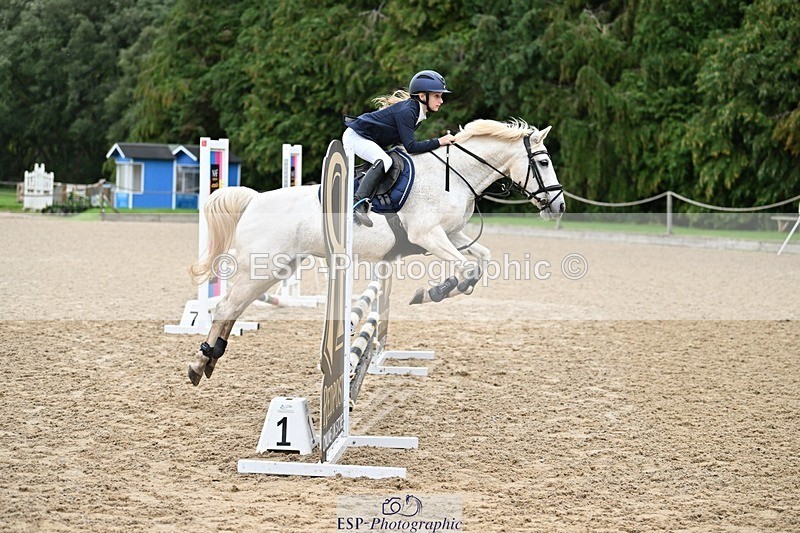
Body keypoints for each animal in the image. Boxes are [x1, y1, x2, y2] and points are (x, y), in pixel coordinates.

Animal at [186, 119, 565, 385]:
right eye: (544, 162)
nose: (558, 206)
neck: (454, 176)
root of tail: (254, 200)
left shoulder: (451, 234)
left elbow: (482, 260)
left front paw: (444, 289)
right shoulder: (430, 235)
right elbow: (465, 267)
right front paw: (436, 291)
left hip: (276, 269)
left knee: (233, 308)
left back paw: (210, 359)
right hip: (261, 268)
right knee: (225, 307)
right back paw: (200, 362)